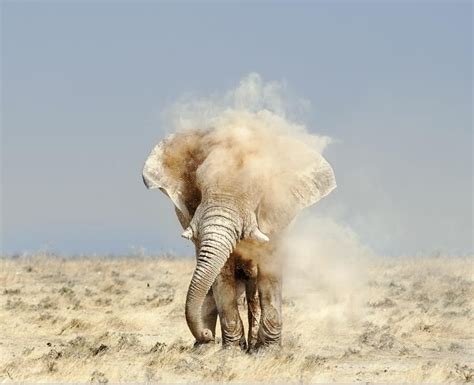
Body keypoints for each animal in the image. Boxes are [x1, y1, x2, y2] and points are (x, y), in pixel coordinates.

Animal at [142, 114, 336, 348]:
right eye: (199, 183)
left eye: (258, 189)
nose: (206, 335)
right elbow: (221, 273)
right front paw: (232, 350)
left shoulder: (276, 214)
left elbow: (269, 270)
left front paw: (268, 350)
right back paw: (204, 348)